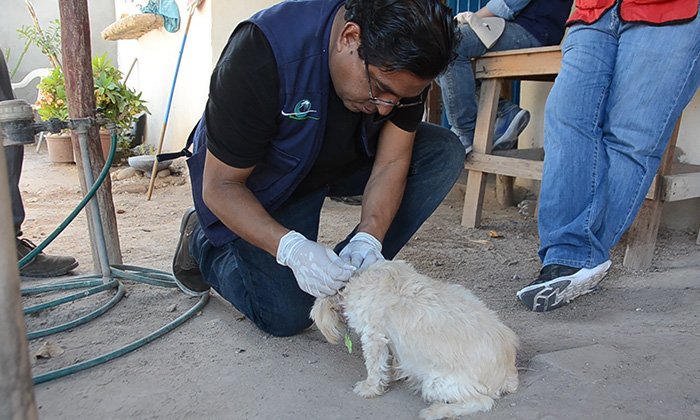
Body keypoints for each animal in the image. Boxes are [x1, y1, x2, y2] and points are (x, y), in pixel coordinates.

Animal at [312, 260, 520, 418]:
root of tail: (508, 373)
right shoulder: (388, 339)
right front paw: (394, 373)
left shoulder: (373, 337)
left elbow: (374, 367)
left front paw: (369, 388)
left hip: (436, 382)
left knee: (482, 401)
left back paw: (437, 411)